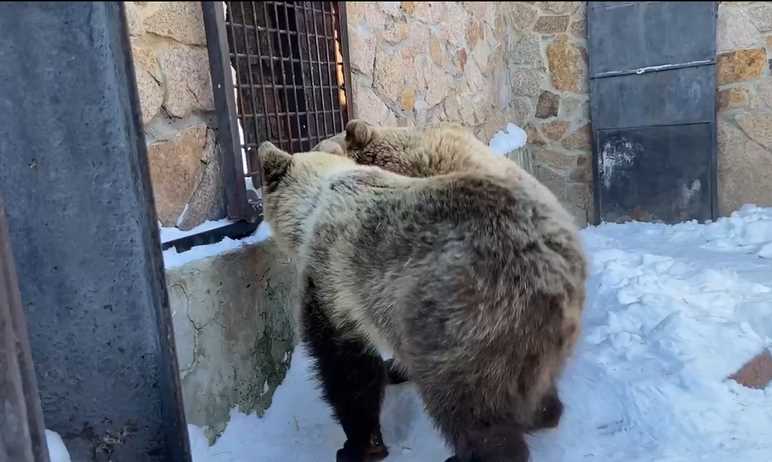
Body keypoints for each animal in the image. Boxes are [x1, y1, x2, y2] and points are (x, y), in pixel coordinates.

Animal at [260, 122, 584, 462]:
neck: (313, 208)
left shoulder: (333, 277)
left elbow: (346, 366)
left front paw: (357, 446)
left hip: (466, 316)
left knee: (466, 404)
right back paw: (542, 413)